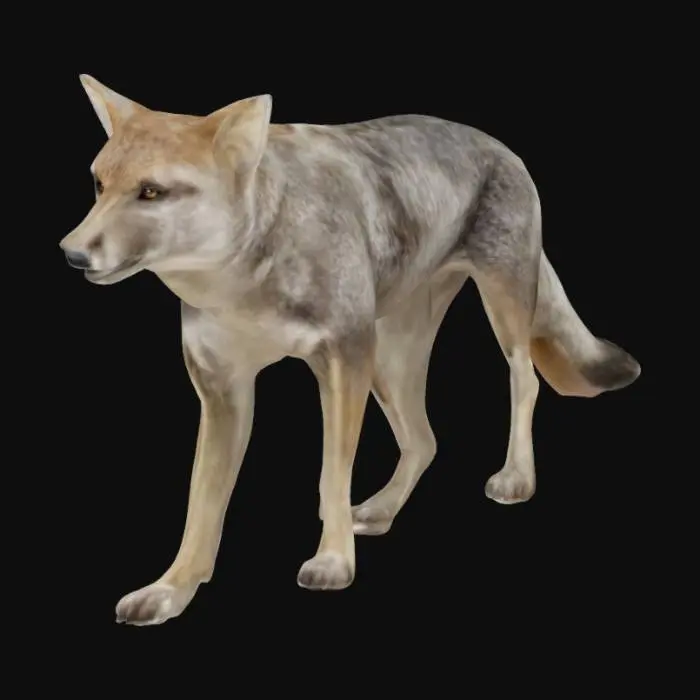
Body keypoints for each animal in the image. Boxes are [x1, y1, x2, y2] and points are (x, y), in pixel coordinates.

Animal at [61, 75, 640, 625]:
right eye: (99, 184)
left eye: (151, 192)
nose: (71, 253)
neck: (242, 282)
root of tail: (501, 146)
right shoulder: (224, 393)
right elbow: (201, 507)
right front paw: (170, 590)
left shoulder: (340, 362)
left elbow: (330, 476)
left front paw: (333, 562)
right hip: (389, 364)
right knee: (426, 440)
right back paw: (382, 510)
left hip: (483, 320)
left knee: (524, 382)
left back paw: (517, 477)